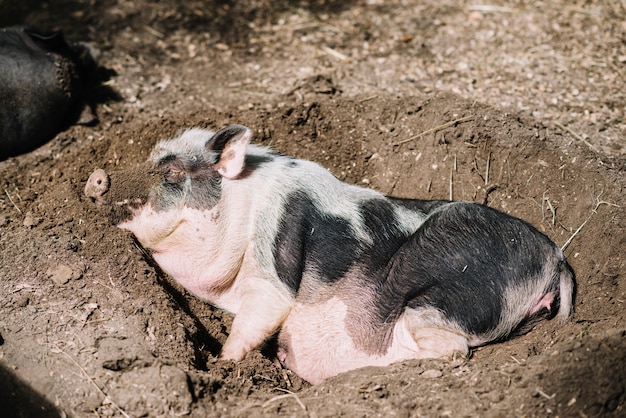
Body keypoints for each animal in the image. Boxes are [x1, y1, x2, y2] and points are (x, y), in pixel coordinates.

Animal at [85, 125, 572, 386]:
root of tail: (555, 260)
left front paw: (223, 367)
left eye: (170, 172)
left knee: (451, 349)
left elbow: (258, 318)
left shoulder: (274, 268)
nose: (96, 176)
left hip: (450, 293)